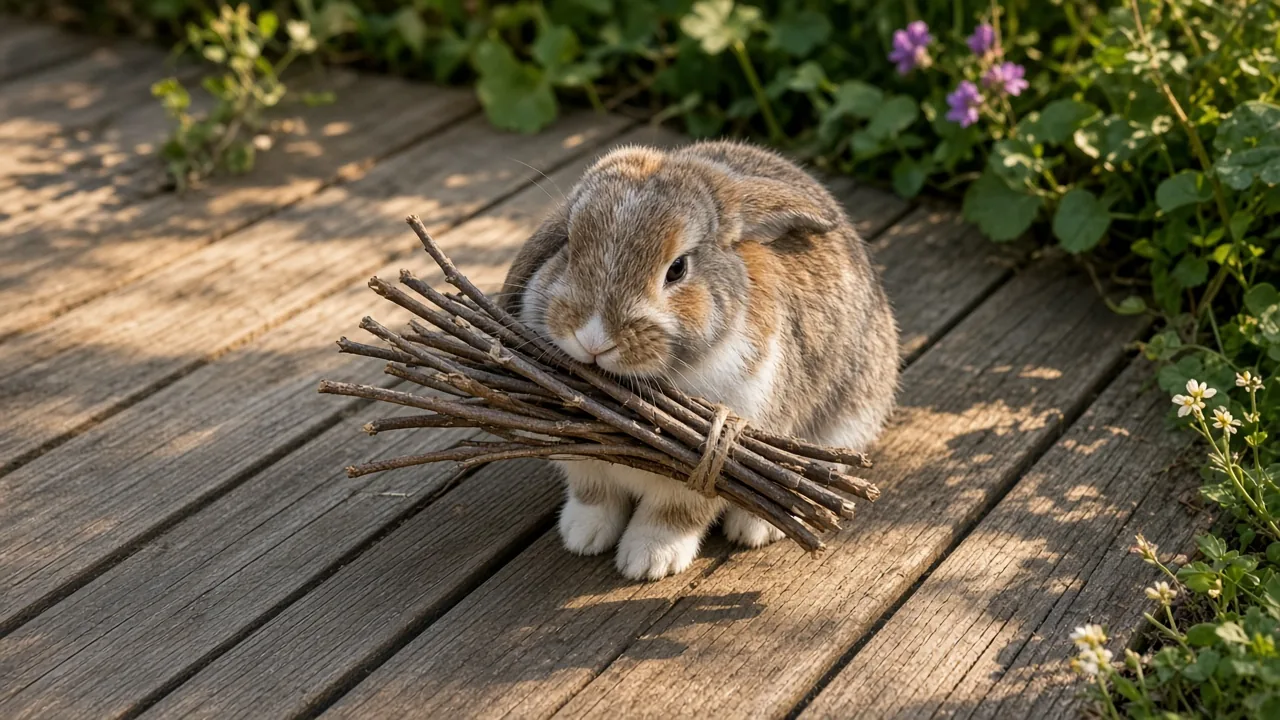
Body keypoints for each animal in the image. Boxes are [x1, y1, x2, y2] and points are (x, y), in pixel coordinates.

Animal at [496, 138, 900, 581]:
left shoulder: (708, 468)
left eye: (677, 269)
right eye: (568, 245)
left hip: (845, 425)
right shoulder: (585, 467)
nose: (593, 339)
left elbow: (675, 515)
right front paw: (583, 536)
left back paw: (754, 528)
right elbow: (594, 497)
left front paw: (648, 561)